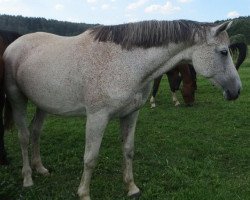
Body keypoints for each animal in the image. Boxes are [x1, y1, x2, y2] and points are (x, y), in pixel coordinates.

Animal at [3, 19, 240, 200]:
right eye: (223, 52)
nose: (236, 91)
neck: (126, 61)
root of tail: (14, 45)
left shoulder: (131, 114)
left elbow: (128, 150)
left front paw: (131, 188)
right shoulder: (97, 117)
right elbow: (90, 158)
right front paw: (84, 194)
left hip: (43, 104)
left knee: (35, 132)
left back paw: (40, 169)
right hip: (17, 100)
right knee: (24, 136)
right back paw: (27, 178)